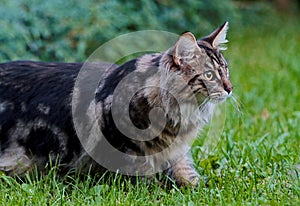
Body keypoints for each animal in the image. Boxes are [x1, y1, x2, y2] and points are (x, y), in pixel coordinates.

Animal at [0, 22, 232, 187]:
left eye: (226, 70)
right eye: (209, 75)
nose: (230, 88)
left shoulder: (177, 153)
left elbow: (189, 176)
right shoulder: (126, 147)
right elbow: (146, 179)